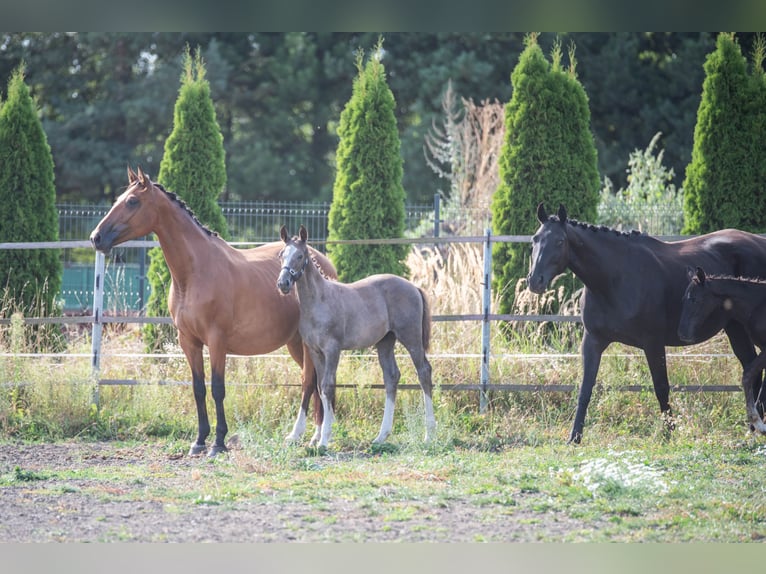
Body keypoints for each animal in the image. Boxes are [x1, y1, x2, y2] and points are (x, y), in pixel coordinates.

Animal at [90, 167, 338, 456]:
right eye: (118, 198)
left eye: (132, 201)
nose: (96, 237)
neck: (196, 272)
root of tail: (322, 262)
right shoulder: (189, 342)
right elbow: (198, 388)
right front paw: (199, 440)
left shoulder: (217, 341)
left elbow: (218, 388)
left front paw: (218, 442)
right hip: (296, 343)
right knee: (316, 381)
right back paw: (314, 436)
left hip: (307, 345)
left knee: (310, 381)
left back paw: (307, 436)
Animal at [276, 225, 436, 448]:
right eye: (281, 254)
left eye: (300, 256)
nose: (283, 283)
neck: (319, 301)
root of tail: (414, 287)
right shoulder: (315, 352)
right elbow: (319, 386)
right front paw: (319, 437)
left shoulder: (332, 350)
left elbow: (327, 386)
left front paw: (323, 440)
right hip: (385, 342)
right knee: (392, 376)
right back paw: (381, 436)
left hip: (411, 337)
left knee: (424, 372)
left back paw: (429, 435)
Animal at [679, 266, 766, 433]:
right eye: (684, 299)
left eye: (694, 299)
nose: (683, 334)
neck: (758, 305)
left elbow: (747, 375)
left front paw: (758, 423)